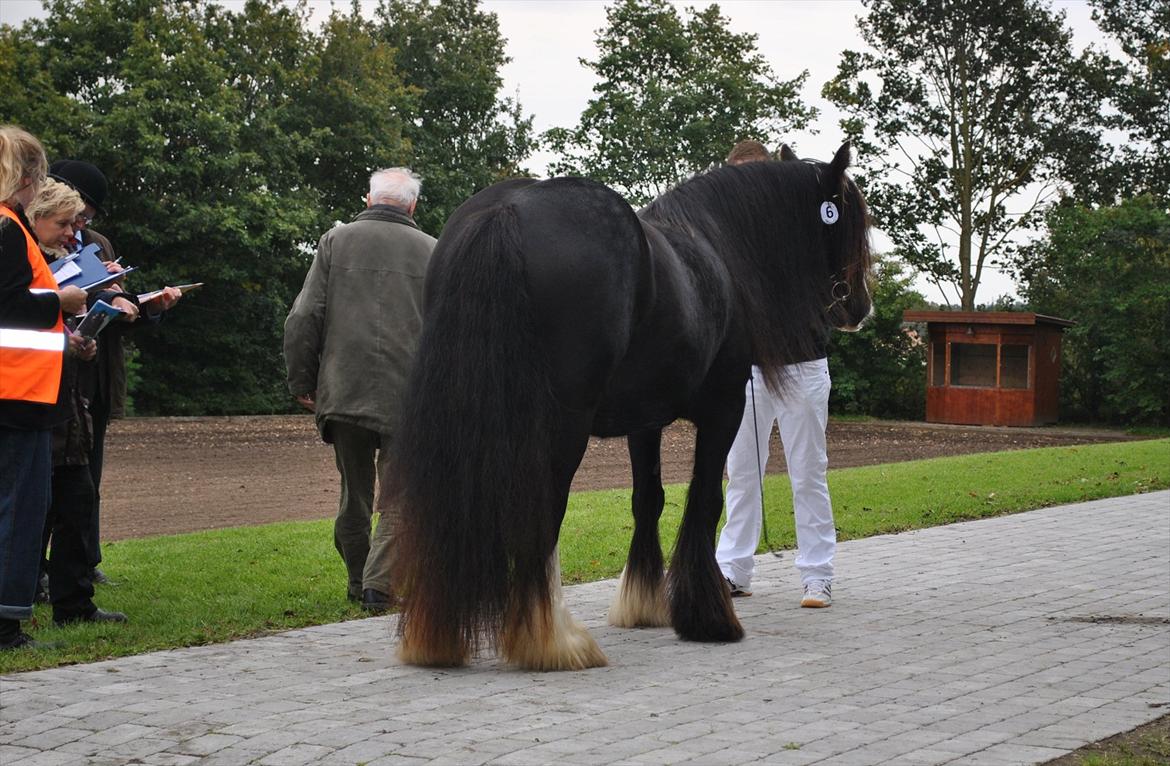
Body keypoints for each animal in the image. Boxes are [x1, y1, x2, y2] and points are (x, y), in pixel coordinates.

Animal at [388, 143, 875, 673]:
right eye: (848, 217)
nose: (860, 307)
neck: (715, 246)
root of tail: (508, 210)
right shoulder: (725, 409)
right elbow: (706, 500)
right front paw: (709, 618)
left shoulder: (646, 422)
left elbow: (649, 499)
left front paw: (644, 605)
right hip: (561, 425)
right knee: (544, 507)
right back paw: (552, 640)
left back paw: (441, 638)